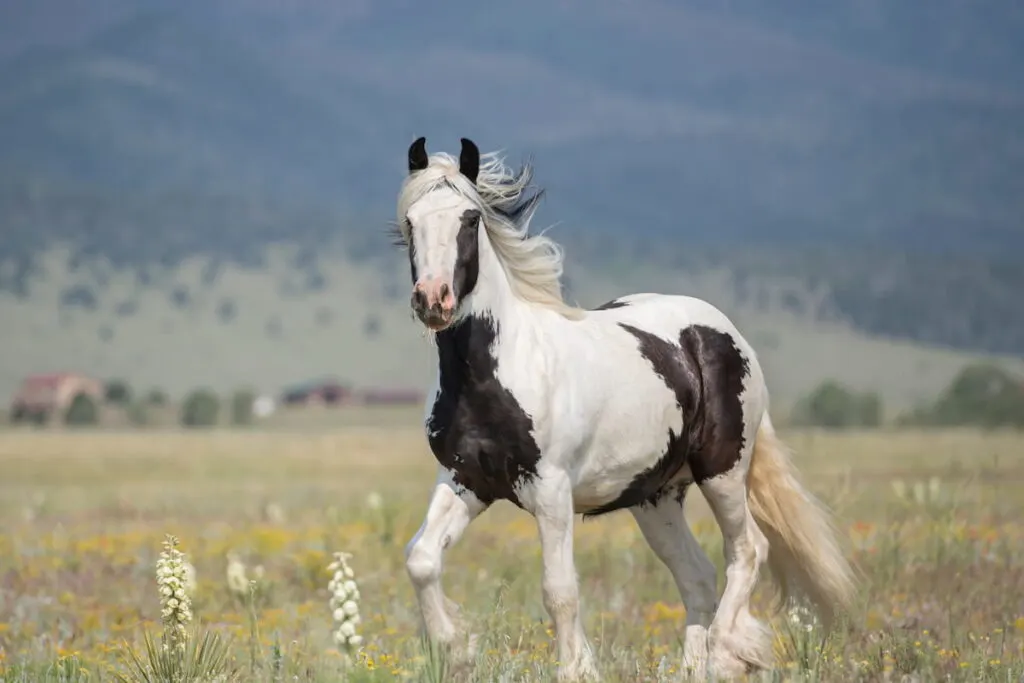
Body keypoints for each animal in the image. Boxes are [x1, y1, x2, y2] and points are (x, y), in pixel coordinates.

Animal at [391, 136, 856, 679]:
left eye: (469, 219)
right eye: (410, 221)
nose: (433, 300)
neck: (495, 372)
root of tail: (727, 334)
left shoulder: (550, 489)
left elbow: (560, 590)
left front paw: (576, 669)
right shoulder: (466, 479)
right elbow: (421, 558)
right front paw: (457, 647)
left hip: (723, 472)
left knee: (748, 550)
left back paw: (726, 654)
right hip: (656, 497)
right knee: (697, 574)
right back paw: (694, 668)